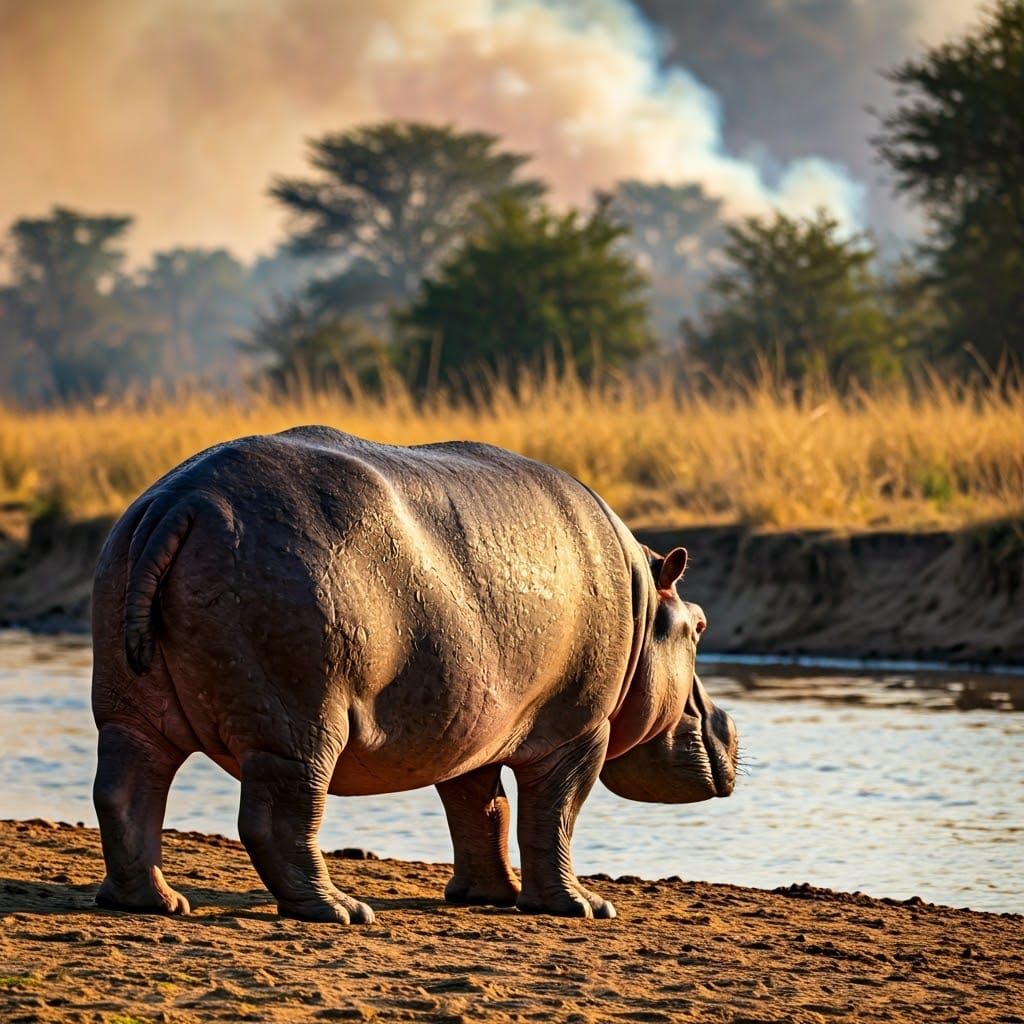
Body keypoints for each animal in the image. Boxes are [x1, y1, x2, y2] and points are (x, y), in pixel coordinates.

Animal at [91, 427, 737, 923]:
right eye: (702, 624)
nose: (728, 726)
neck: (646, 604)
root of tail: (181, 503)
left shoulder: (471, 728)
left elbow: (482, 810)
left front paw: (488, 897)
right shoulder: (579, 729)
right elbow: (554, 813)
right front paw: (584, 907)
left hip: (128, 709)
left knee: (124, 791)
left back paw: (154, 902)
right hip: (301, 723)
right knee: (278, 815)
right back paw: (342, 912)